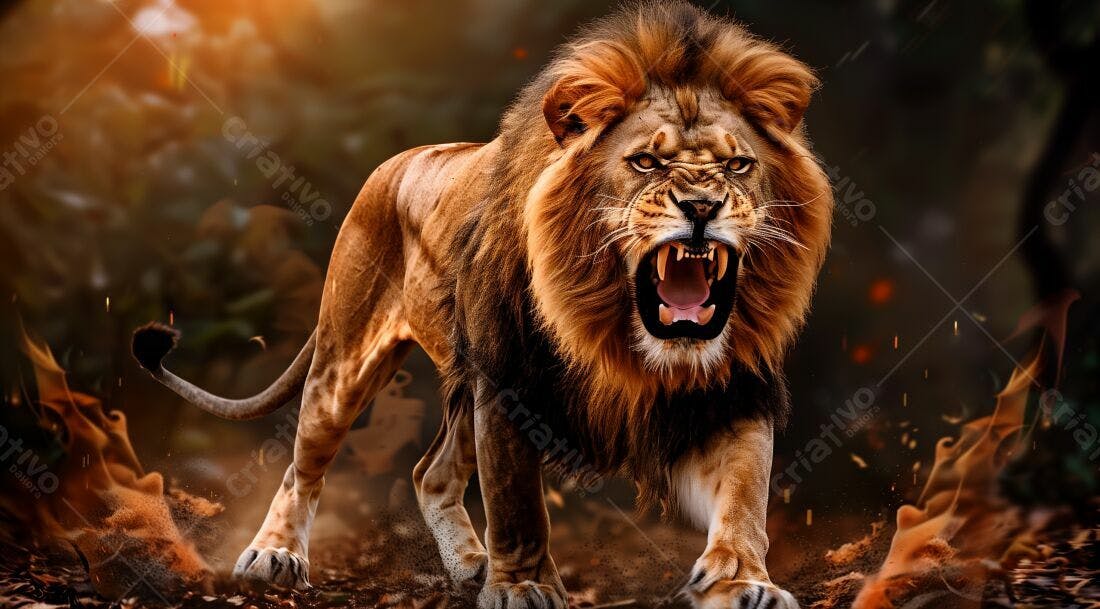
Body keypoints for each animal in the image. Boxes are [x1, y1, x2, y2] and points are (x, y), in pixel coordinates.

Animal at [132, 3, 832, 608]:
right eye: (645, 162)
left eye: (738, 167)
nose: (702, 208)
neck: (617, 333)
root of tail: (402, 158)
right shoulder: (507, 382)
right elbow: (516, 501)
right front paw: (524, 588)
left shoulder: (735, 387)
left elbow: (745, 491)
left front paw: (744, 583)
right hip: (347, 365)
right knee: (303, 465)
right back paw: (275, 555)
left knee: (430, 472)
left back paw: (470, 564)